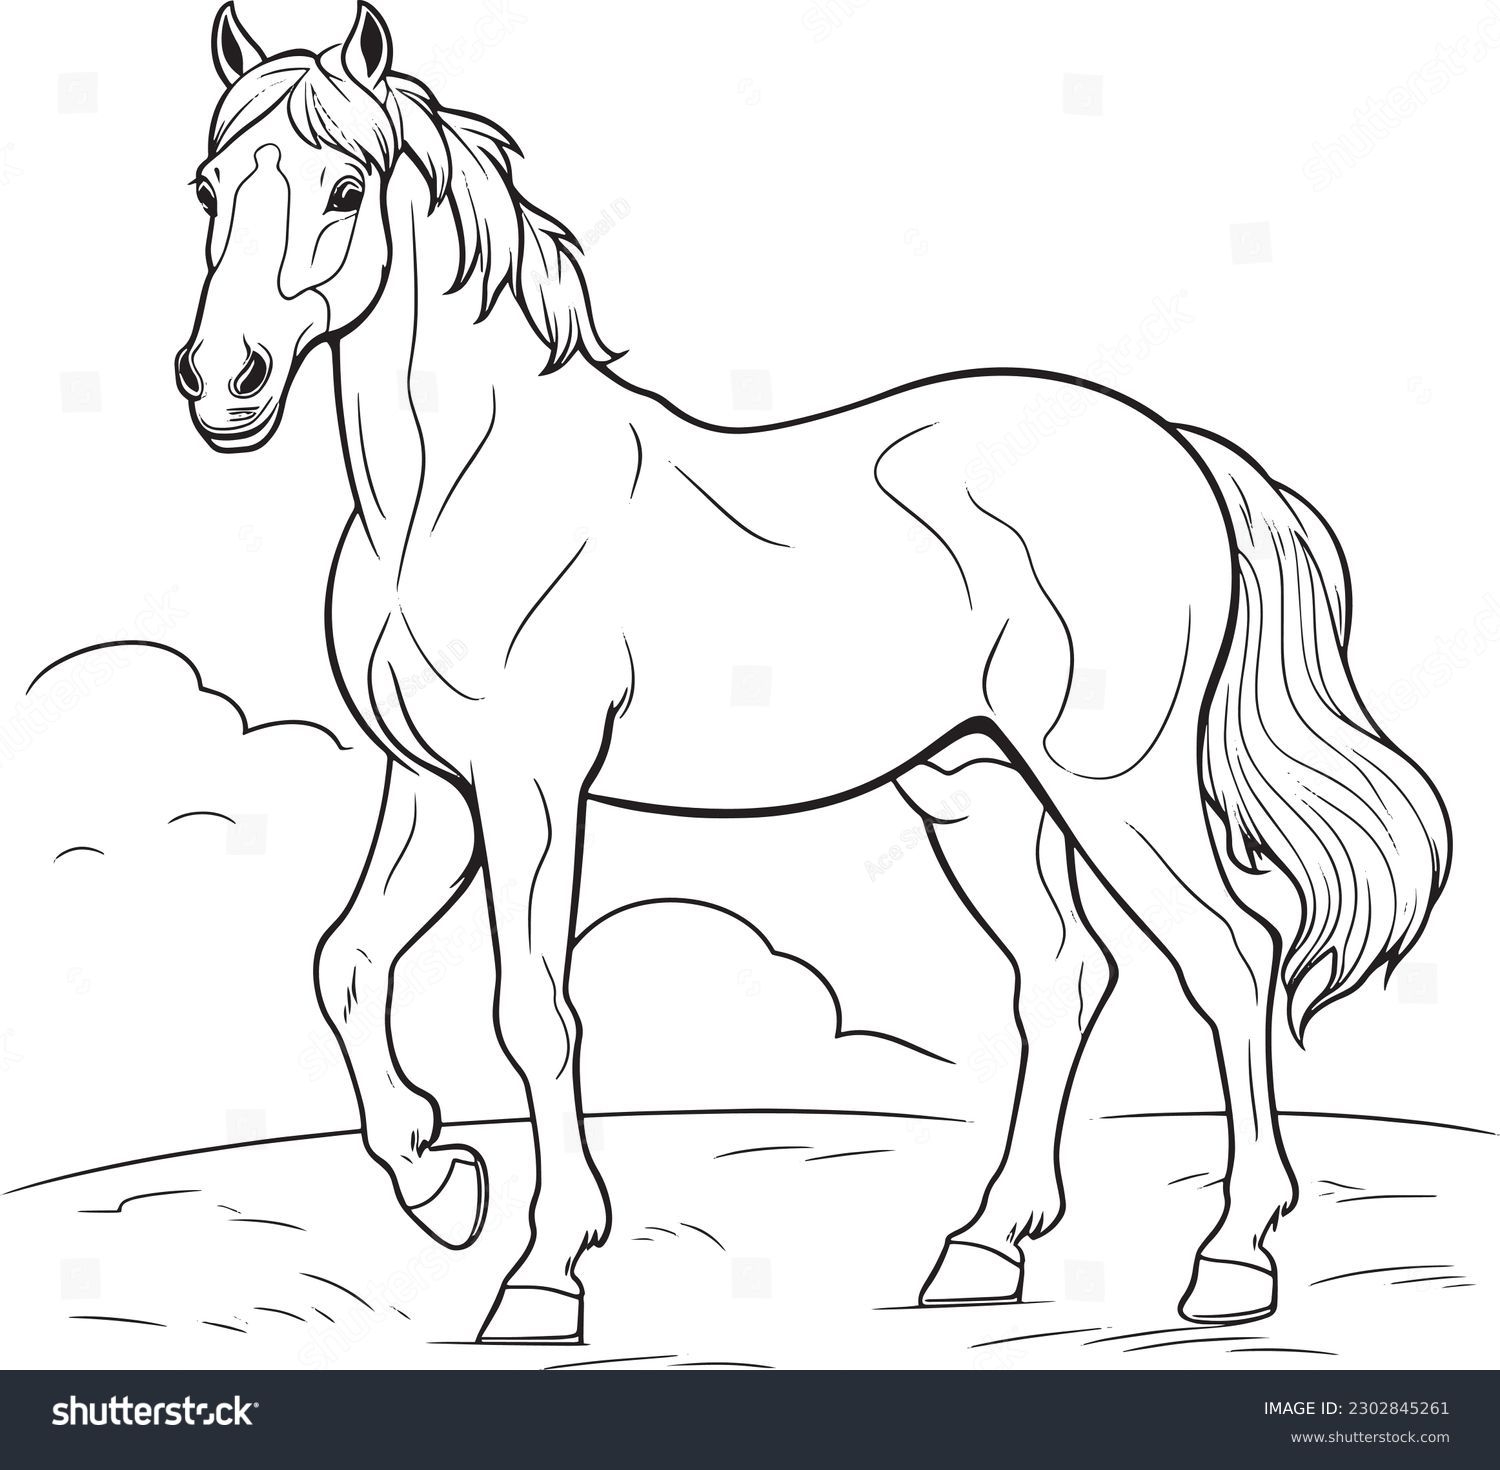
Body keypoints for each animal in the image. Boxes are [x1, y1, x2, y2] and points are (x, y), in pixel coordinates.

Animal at [175, 3, 1450, 1345]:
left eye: (345, 189)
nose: (223, 382)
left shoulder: (534, 783)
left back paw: (1232, 1259)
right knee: (1065, 974)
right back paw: (984, 1248)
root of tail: (1179, 453)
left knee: (1231, 957)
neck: (461, 487)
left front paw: (544, 1271)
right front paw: (439, 1183)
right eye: (208, 187)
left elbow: (533, 1007)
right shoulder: (432, 785)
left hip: (1113, 783)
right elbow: (347, 962)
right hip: (981, 787)